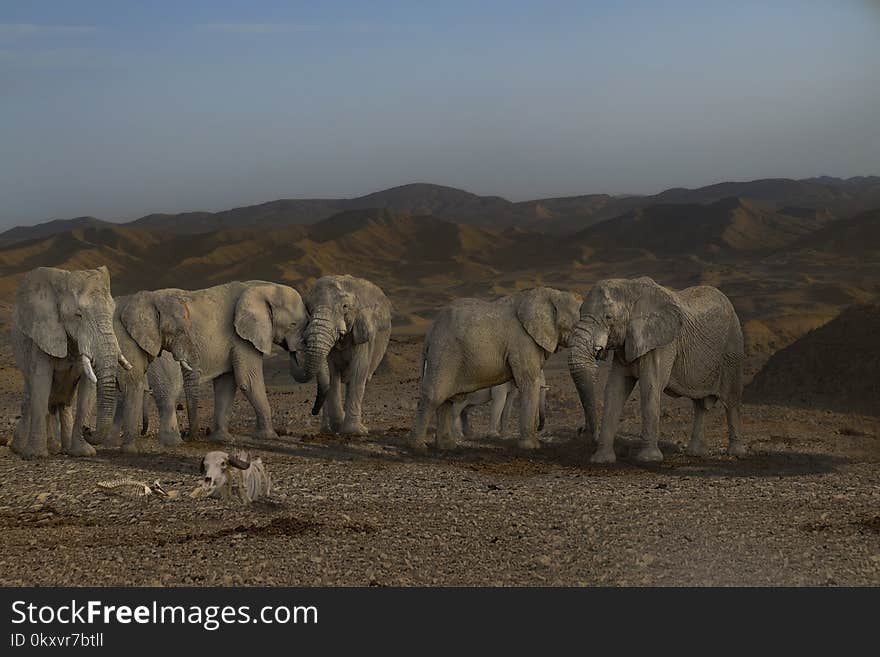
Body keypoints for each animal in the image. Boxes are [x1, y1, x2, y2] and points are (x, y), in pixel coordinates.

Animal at [9, 264, 127, 458]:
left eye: (112, 314)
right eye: (78, 315)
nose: (88, 429)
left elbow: (87, 390)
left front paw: (83, 453)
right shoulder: (43, 334)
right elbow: (41, 383)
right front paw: (36, 456)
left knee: (63, 403)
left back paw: (61, 448)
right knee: (32, 397)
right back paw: (21, 448)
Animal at [127, 280, 310, 444]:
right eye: (293, 325)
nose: (293, 351)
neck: (263, 287)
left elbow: (226, 384)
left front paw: (222, 439)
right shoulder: (242, 339)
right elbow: (248, 381)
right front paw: (269, 437)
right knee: (168, 390)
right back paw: (174, 441)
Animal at [288, 272, 392, 434]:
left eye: (345, 307)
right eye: (309, 308)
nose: (313, 411)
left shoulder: (364, 332)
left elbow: (359, 371)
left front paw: (354, 432)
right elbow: (332, 373)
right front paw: (339, 426)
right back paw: (326, 430)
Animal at [410, 288, 580, 452]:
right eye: (577, 324)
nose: (539, 428)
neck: (553, 294)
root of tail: (430, 332)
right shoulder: (522, 341)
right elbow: (528, 382)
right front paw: (531, 446)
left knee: (447, 399)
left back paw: (447, 446)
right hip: (444, 352)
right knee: (435, 396)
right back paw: (419, 447)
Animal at [568, 274, 744, 464]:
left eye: (608, 317)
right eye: (580, 312)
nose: (582, 431)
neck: (630, 288)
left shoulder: (662, 343)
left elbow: (650, 386)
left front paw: (648, 459)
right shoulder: (627, 344)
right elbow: (615, 389)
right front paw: (601, 460)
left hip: (732, 348)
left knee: (731, 400)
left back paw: (736, 453)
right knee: (700, 405)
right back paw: (696, 453)